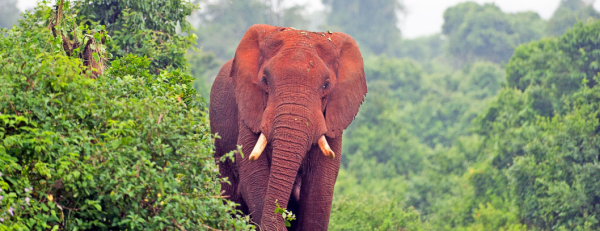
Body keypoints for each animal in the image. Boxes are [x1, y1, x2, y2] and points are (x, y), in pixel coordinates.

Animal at [209, 24, 368, 230]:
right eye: (265, 81)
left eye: (326, 85)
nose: (285, 218)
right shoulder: (248, 110)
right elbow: (252, 172)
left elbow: (321, 185)